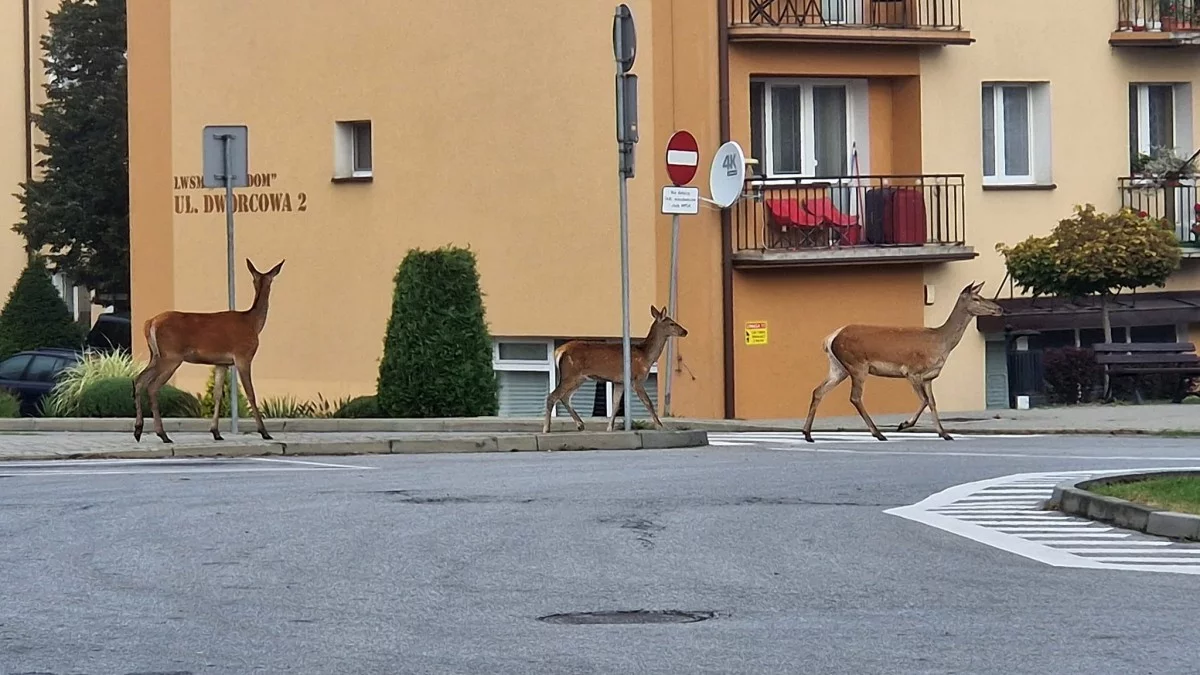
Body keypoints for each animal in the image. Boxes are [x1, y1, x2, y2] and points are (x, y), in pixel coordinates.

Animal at [134, 257, 285, 441]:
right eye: (271, 279)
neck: (253, 323)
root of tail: (150, 322)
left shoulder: (222, 362)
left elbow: (218, 394)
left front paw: (215, 432)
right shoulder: (243, 356)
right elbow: (251, 393)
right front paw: (264, 432)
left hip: (155, 355)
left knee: (139, 380)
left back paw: (138, 430)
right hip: (171, 356)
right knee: (152, 386)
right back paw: (162, 434)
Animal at [542, 303, 691, 432]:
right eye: (672, 323)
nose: (685, 331)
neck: (646, 356)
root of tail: (558, 351)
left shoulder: (619, 382)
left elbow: (615, 405)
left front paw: (610, 428)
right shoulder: (636, 379)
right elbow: (648, 402)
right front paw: (660, 426)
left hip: (579, 378)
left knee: (565, 397)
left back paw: (580, 424)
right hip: (570, 373)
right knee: (552, 396)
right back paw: (546, 428)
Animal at [806, 278, 1003, 441]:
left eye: (981, 296)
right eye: (976, 298)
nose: (1000, 309)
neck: (941, 342)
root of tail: (830, 338)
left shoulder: (929, 377)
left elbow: (932, 402)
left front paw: (944, 433)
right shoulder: (912, 371)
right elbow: (924, 400)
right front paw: (904, 424)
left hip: (839, 367)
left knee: (818, 391)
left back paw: (808, 434)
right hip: (857, 364)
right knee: (855, 397)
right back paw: (878, 433)